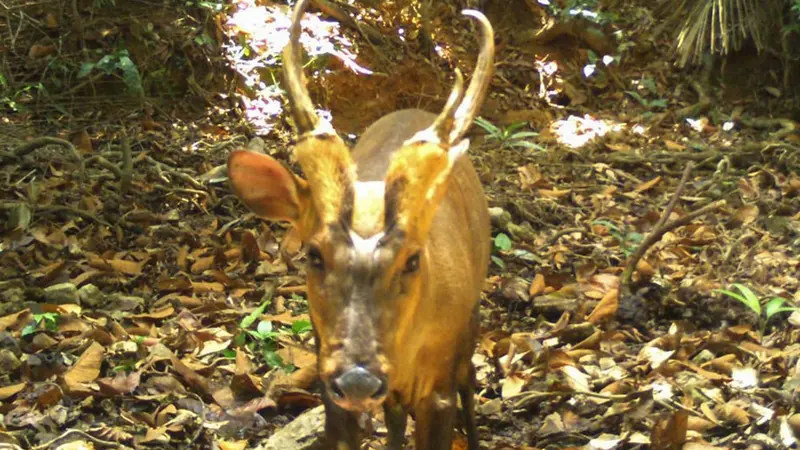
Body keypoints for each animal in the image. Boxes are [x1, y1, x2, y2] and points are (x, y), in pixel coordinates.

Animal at [227, 1, 493, 448]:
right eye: (314, 255)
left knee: (470, 378)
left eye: (412, 260)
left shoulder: (439, 383)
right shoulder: (326, 370)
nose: (357, 382)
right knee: (396, 413)